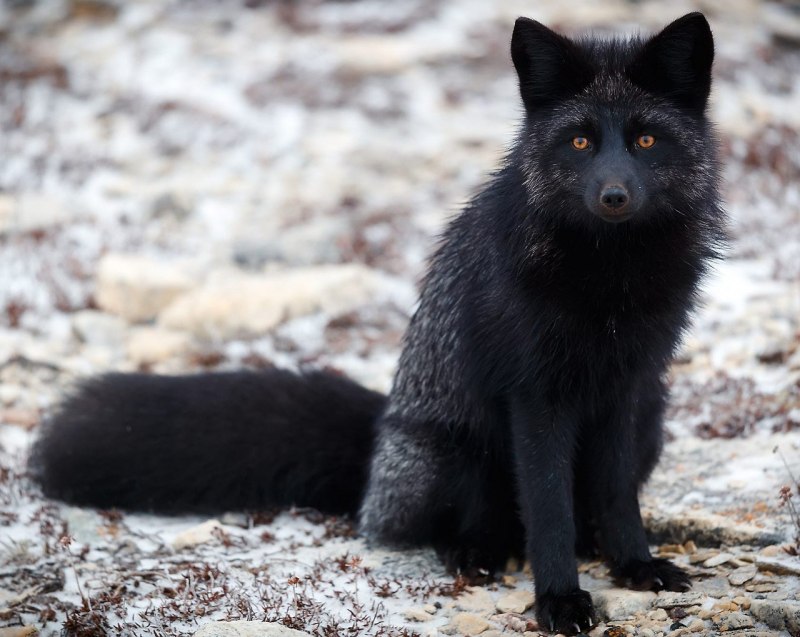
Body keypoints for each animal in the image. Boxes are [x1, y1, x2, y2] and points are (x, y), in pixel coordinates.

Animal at [30, 12, 725, 635]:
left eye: (645, 140)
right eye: (580, 142)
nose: (614, 196)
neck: (609, 284)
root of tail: (379, 436)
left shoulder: (627, 388)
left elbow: (616, 496)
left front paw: (635, 565)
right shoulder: (537, 397)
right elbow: (548, 511)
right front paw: (558, 601)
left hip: (652, 423)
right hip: (458, 457)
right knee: (467, 527)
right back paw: (475, 554)